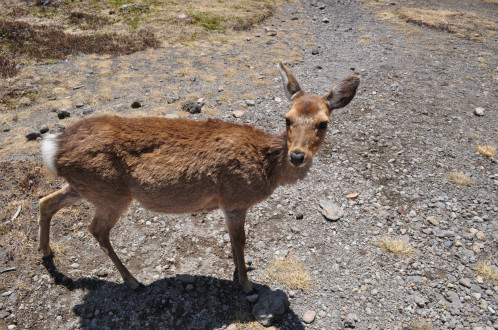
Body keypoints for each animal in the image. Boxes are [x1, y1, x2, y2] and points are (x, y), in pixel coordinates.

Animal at [39, 63, 358, 296]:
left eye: (323, 123)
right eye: (287, 118)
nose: (297, 155)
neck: (268, 167)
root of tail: (54, 147)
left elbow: (235, 242)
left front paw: (239, 273)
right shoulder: (234, 199)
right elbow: (240, 241)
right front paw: (245, 284)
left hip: (86, 187)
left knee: (46, 201)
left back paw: (46, 252)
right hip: (110, 193)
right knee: (96, 230)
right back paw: (132, 280)